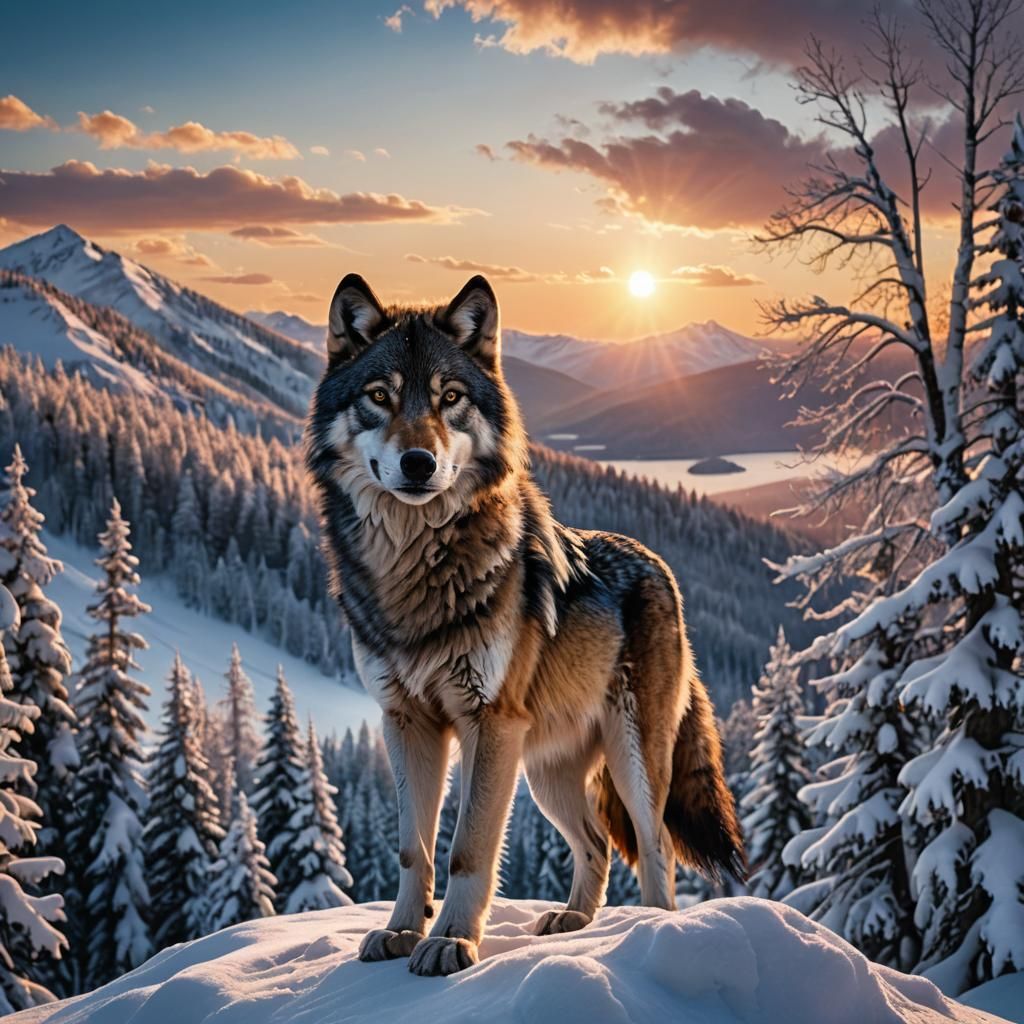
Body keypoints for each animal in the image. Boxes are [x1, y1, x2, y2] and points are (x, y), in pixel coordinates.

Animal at [305, 273, 744, 977]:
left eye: (450, 398)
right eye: (379, 397)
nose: (419, 463)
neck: (415, 568)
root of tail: (661, 568)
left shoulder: (489, 723)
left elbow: (467, 849)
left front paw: (451, 942)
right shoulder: (406, 723)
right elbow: (412, 849)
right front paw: (400, 932)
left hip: (629, 760)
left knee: (654, 851)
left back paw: (647, 934)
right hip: (544, 773)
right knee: (596, 844)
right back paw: (573, 924)